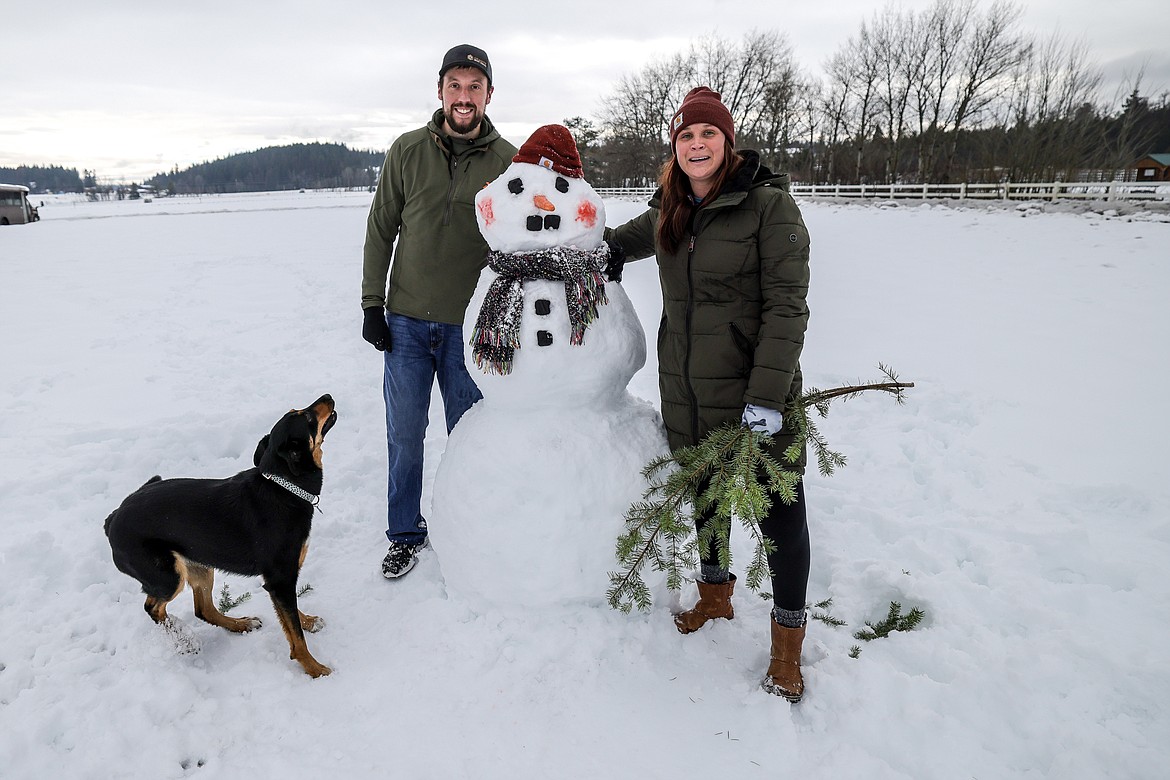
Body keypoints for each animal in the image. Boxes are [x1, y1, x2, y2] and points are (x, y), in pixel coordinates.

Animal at [101, 397, 339, 678]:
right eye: (307, 417)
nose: (327, 396)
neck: (283, 486)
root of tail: (112, 519)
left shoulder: (282, 581)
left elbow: (291, 614)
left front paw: (309, 622)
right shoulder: (280, 579)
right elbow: (295, 635)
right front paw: (316, 669)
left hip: (200, 564)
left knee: (203, 610)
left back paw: (240, 624)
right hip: (168, 575)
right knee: (153, 608)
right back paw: (185, 640)